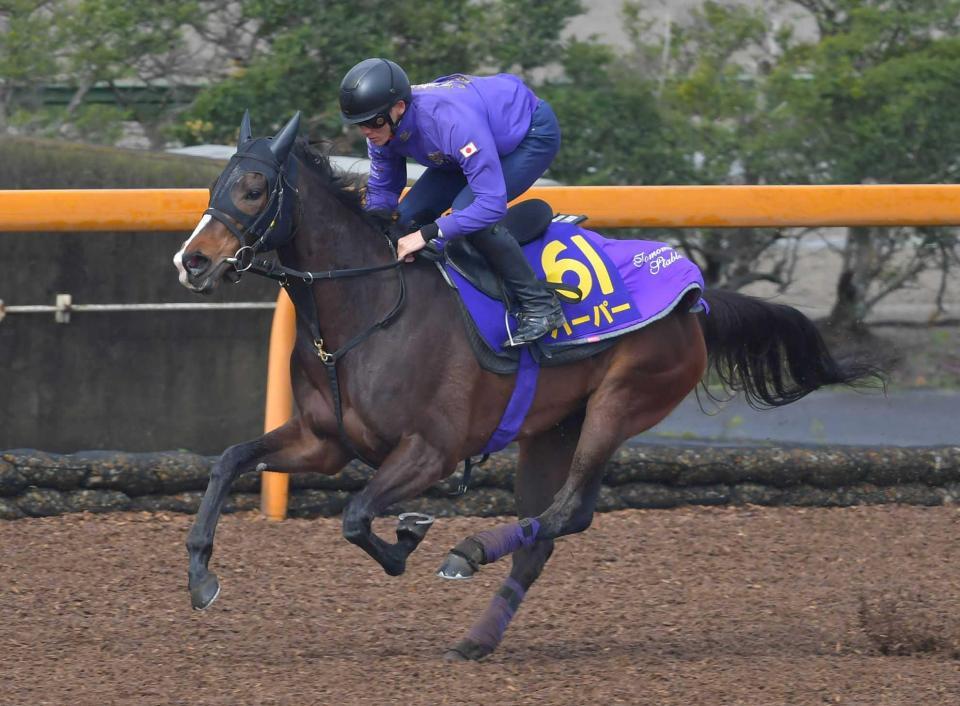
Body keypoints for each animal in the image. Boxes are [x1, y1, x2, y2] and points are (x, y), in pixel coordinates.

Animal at [172, 114, 876, 660]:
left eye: (256, 188)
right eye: (214, 184)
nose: (192, 261)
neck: (367, 305)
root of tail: (695, 296)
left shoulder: (432, 450)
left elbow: (353, 517)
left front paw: (411, 537)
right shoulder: (325, 441)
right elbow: (229, 461)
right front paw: (201, 577)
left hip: (621, 402)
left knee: (566, 512)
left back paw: (468, 552)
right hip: (551, 430)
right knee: (549, 530)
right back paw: (477, 637)